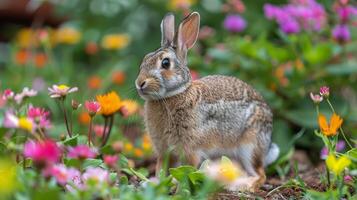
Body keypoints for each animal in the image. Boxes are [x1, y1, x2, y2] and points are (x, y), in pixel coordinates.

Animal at [135, 12, 280, 191]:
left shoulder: (190, 150)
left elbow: (187, 170)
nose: (140, 83)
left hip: (250, 146)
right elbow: (160, 169)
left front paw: (179, 188)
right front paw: (156, 184)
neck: (172, 95)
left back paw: (241, 186)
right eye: (145, 59)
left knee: (260, 175)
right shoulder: (163, 150)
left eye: (165, 63)